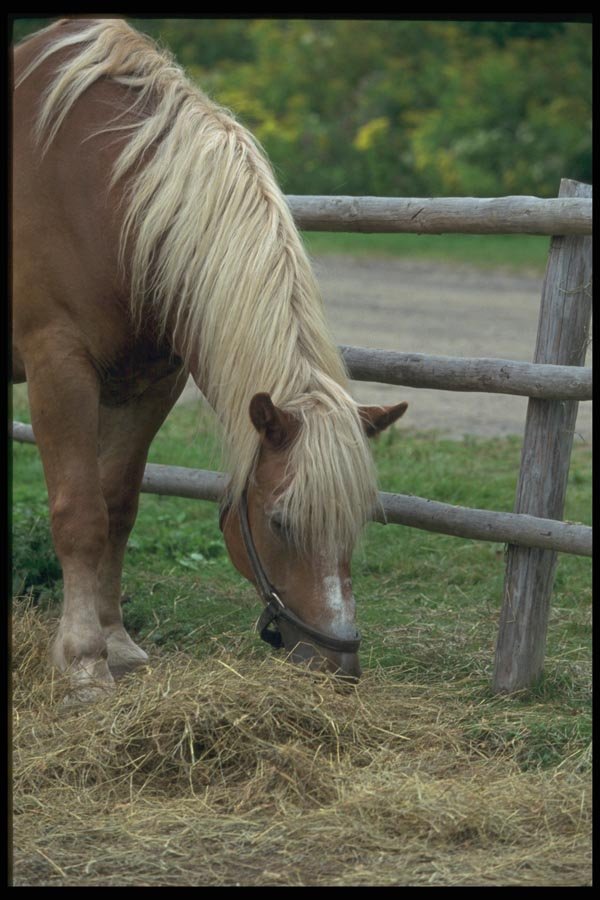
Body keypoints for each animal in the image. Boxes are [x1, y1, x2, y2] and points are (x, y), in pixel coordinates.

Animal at [12, 18, 407, 695]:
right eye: (279, 521)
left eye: (354, 520)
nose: (339, 669)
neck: (103, 192)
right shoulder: (58, 368)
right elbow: (81, 513)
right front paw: (85, 663)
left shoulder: (151, 383)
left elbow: (119, 506)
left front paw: (118, 643)